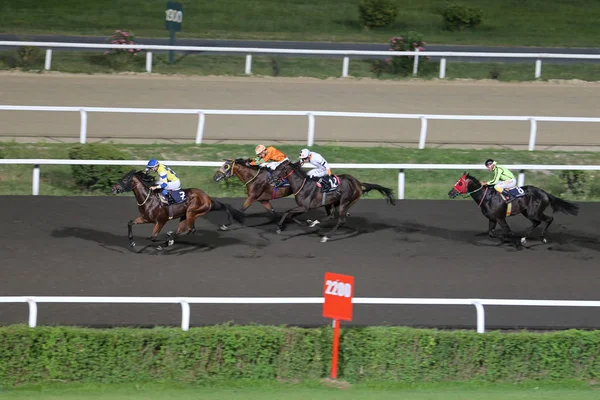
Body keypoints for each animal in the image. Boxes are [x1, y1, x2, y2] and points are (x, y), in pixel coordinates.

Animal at [111, 170, 245, 250]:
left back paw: (170, 239)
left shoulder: (161, 221)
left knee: (190, 230)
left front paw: (163, 244)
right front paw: (132, 242)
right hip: (185, 215)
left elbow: (153, 237)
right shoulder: (145, 218)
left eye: (125, 179)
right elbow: (130, 223)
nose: (113, 188)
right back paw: (171, 237)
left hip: (192, 212)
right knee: (184, 230)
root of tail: (208, 198)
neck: (149, 199)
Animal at [448, 172, 580, 244]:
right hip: (527, 212)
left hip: (534, 212)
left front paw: (509, 239)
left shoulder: (500, 218)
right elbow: (491, 233)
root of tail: (545, 193)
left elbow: (508, 232)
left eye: (460, 183)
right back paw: (524, 238)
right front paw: (505, 238)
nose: (450, 193)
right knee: (536, 222)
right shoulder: (492, 218)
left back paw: (542, 238)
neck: (487, 197)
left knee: (548, 219)